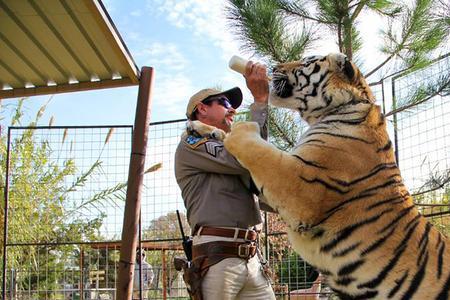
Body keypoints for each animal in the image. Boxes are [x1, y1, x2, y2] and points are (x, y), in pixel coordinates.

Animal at [191, 52, 450, 298]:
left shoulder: (300, 185)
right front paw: (199, 127)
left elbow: (256, 148)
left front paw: (240, 127)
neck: (332, 111)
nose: (273, 67)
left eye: (306, 62)